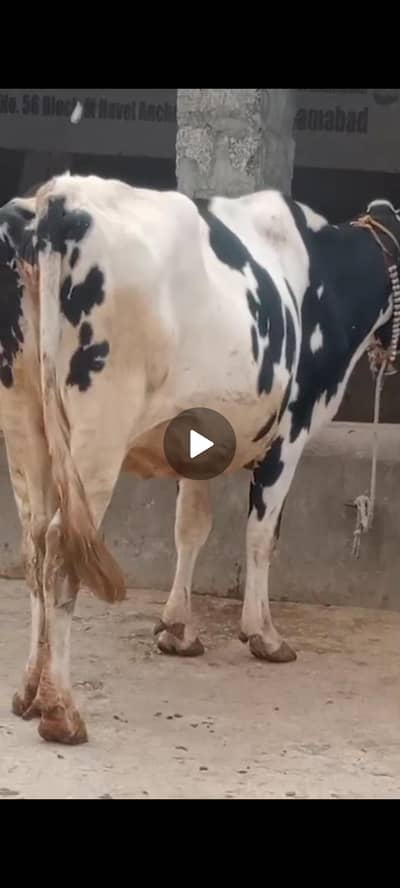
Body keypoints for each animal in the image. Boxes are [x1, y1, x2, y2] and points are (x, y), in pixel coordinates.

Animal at [0, 172, 399, 745]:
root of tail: (56, 199)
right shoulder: (292, 431)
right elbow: (262, 535)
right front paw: (263, 634)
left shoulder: (195, 434)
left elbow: (190, 527)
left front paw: (177, 629)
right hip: (99, 430)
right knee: (60, 546)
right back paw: (61, 712)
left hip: (23, 419)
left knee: (34, 542)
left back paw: (29, 692)